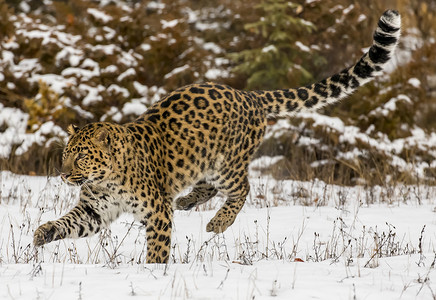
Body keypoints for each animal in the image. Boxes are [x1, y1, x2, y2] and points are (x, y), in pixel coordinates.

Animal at [34, 9, 402, 262]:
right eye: (65, 155)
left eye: (82, 156)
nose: (63, 175)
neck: (105, 180)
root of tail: (249, 96)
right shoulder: (94, 211)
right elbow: (68, 222)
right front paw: (42, 233)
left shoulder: (156, 212)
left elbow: (157, 247)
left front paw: (153, 272)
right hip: (204, 162)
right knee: (207, 186)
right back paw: (186, 200)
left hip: (228, 164)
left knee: (242, 189)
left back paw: (218, 223)